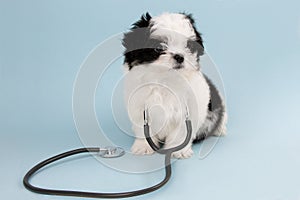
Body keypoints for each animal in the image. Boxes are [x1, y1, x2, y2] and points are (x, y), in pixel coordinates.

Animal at [122, 12, 227, 159]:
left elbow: (182, 132)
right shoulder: (139, 108)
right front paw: (143, 146)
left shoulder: (189, 112)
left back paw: (220, 129)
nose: (179, 56)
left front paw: (179, 150)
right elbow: (142, 130)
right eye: (159, 48)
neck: (165, 81)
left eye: (188, 46)